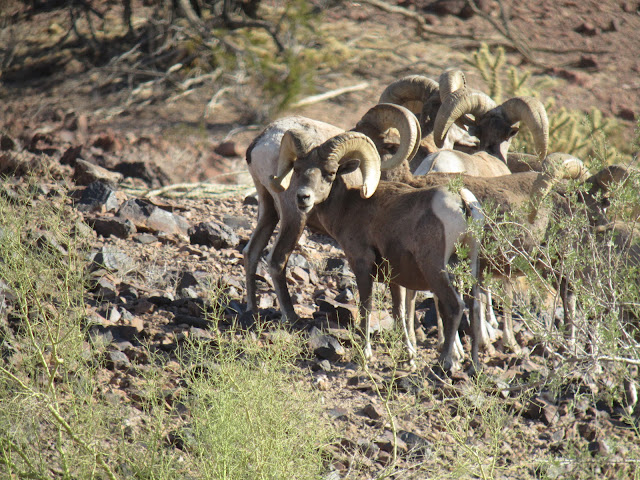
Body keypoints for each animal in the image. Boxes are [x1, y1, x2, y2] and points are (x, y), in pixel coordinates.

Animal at [244, 104, 420, 322]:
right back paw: (291, 317)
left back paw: (252, 310)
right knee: (276, 260)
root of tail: (261, 142)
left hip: (267, 207)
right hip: (294, 216)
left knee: (251, 252)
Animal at [272, 129, 484, 374]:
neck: (349, 207)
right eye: (297, 169)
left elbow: (366, 307)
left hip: (436, 270)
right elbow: (399, 313)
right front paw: (408, 358)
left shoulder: (362, 265)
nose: (303, 197)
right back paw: (474, 366)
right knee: (474, 307)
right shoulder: (395, 279)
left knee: (454, 306)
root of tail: (462, 201)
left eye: (330, 173)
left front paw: (364, 356)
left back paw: (445, 363)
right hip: (470, 267)